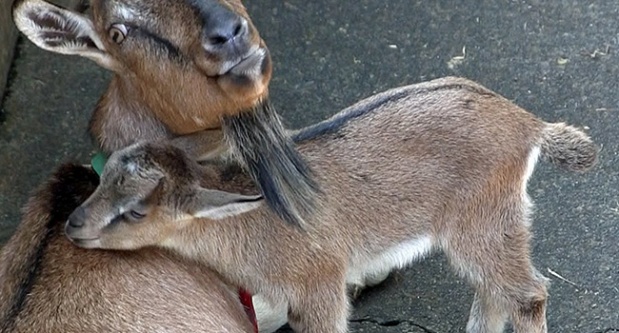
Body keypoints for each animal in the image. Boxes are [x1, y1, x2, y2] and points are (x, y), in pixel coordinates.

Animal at [65, 77, 600, 332]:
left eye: (137, 210)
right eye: (103, 176)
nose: (74, 225)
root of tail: (528, 125)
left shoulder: (318, 281)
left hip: (482, 218)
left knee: (528, 294)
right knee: (493, 289)